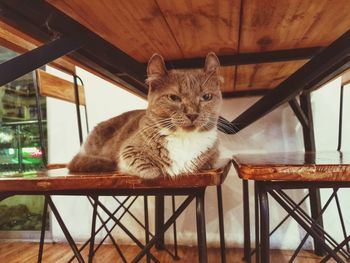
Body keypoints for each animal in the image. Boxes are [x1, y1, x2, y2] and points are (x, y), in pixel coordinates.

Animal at [67, 52, 223, 179]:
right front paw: (155, 171)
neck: (185, 140)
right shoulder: (129, 149)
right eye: (173, 98)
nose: (192, 114)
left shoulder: (214, 152)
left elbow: (210, 160)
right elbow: (143, 165)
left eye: (207, 97)